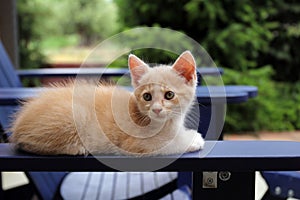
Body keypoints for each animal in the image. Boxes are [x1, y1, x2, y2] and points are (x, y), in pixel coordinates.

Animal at [9, 50, 206, 155]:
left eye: (169, 95)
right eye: (147, 97)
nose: (157, 110)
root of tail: (19, 125)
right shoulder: (135, 144)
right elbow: (169, 145)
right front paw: (193, 140)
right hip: (76, 116)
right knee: (28, 143)